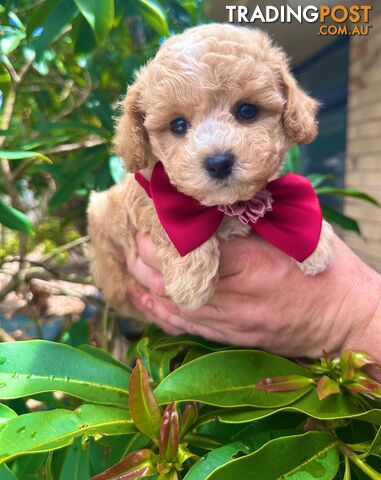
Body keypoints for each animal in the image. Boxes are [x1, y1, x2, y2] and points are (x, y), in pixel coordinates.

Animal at [87, 24, 332, 314]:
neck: (226, 207)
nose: (219, 163)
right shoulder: (126, 201)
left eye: (247, 110)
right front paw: (190, 279)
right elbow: (157, 212)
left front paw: (317, 243)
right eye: (178, 125)